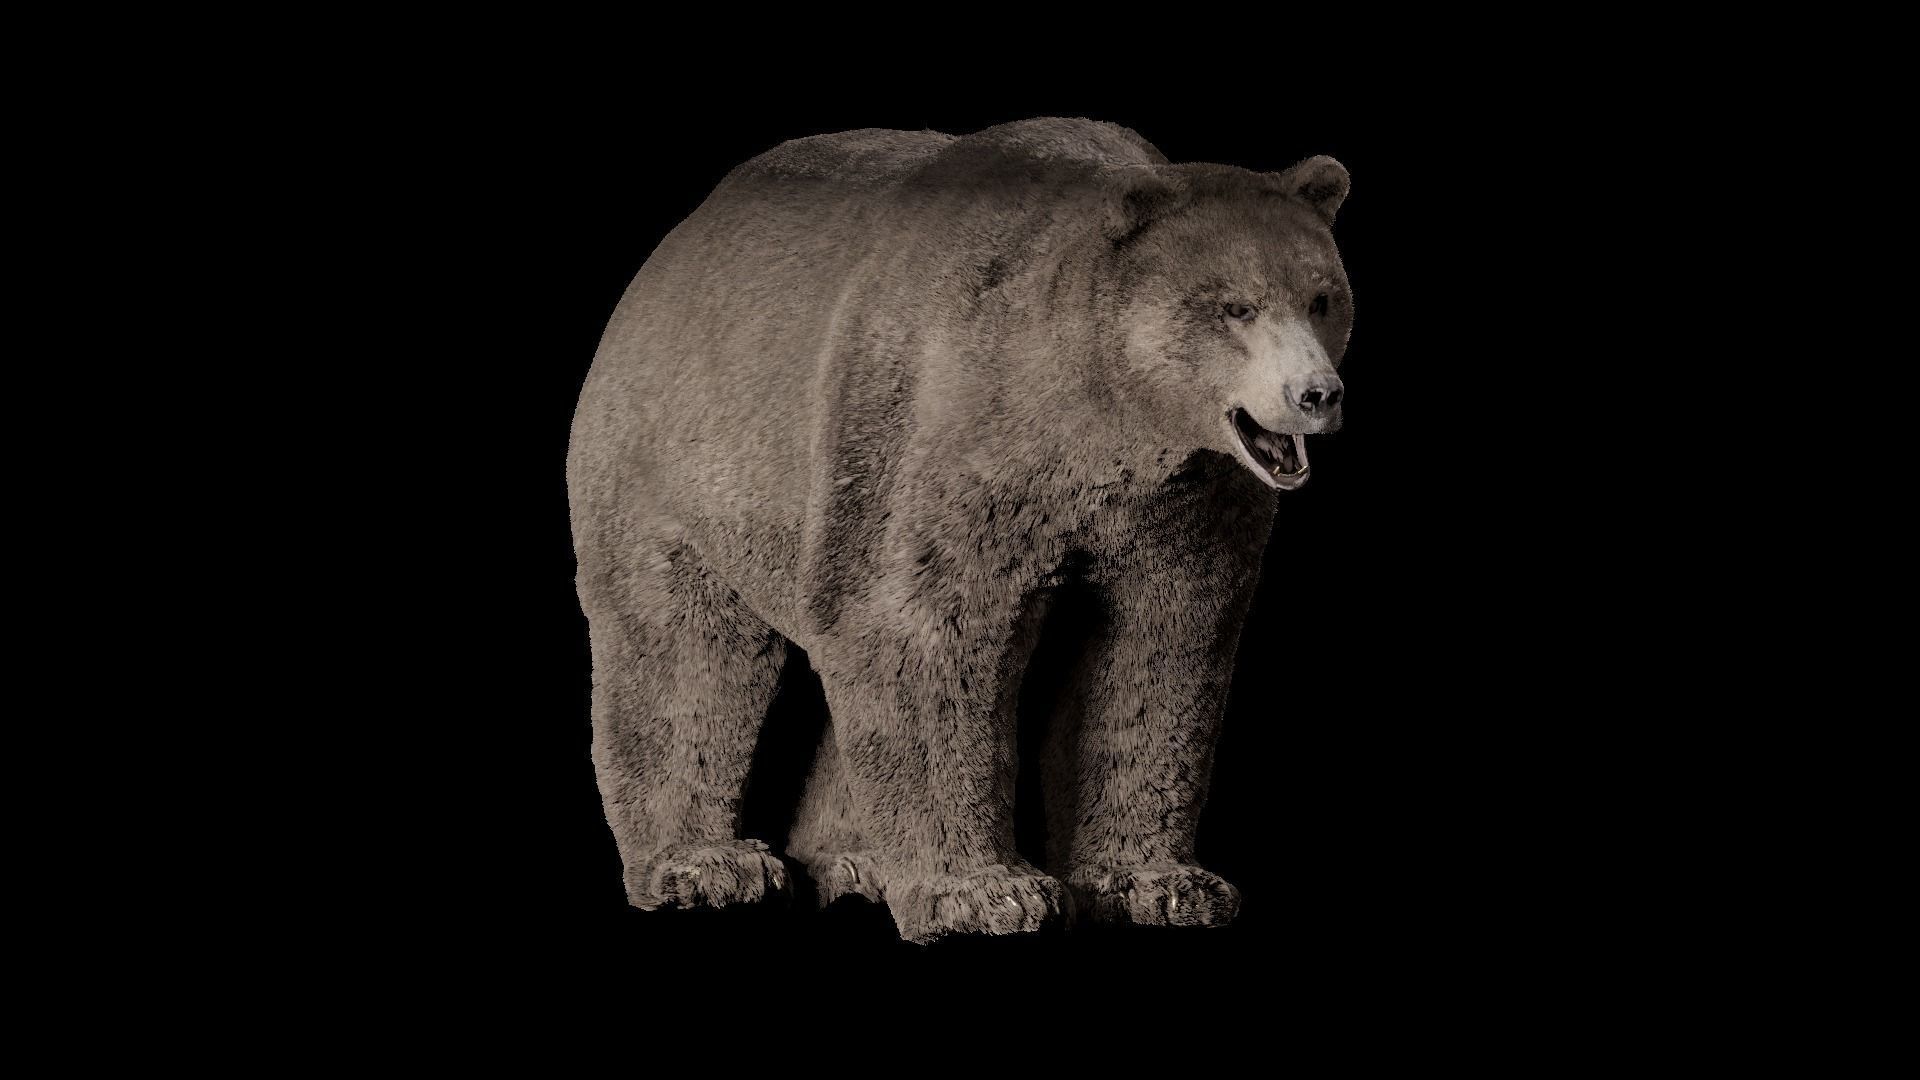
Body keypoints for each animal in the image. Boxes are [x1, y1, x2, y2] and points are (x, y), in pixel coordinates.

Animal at [566, 117, 1353, 944]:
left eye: (1322, 297)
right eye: (1235, 307)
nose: (1316, 394)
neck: (1102, 420)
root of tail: (677, 242)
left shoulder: (1186, 507)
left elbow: (1157, 653)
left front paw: (1162, 882)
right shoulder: (945, 436)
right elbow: (925, 634)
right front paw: (984, 892)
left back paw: (855, 862)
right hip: (678, 460)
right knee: (683, 650)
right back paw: (708, 864)